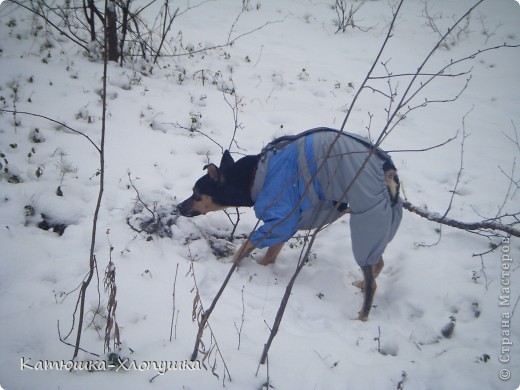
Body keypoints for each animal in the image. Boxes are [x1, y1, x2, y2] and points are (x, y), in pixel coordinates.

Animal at [179, 128, 402, 320]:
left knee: (373, 282)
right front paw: (262, 268)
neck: (254, 176)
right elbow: (270, 254)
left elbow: (244, 248)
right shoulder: (286, 225)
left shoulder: (279, 220)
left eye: (196, 194)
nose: (179, 207)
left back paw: (361, 318)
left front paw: (231, 266)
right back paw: (361, 285)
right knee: (377, 264)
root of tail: (388, 171)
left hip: (369, 219)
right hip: (378, 226)